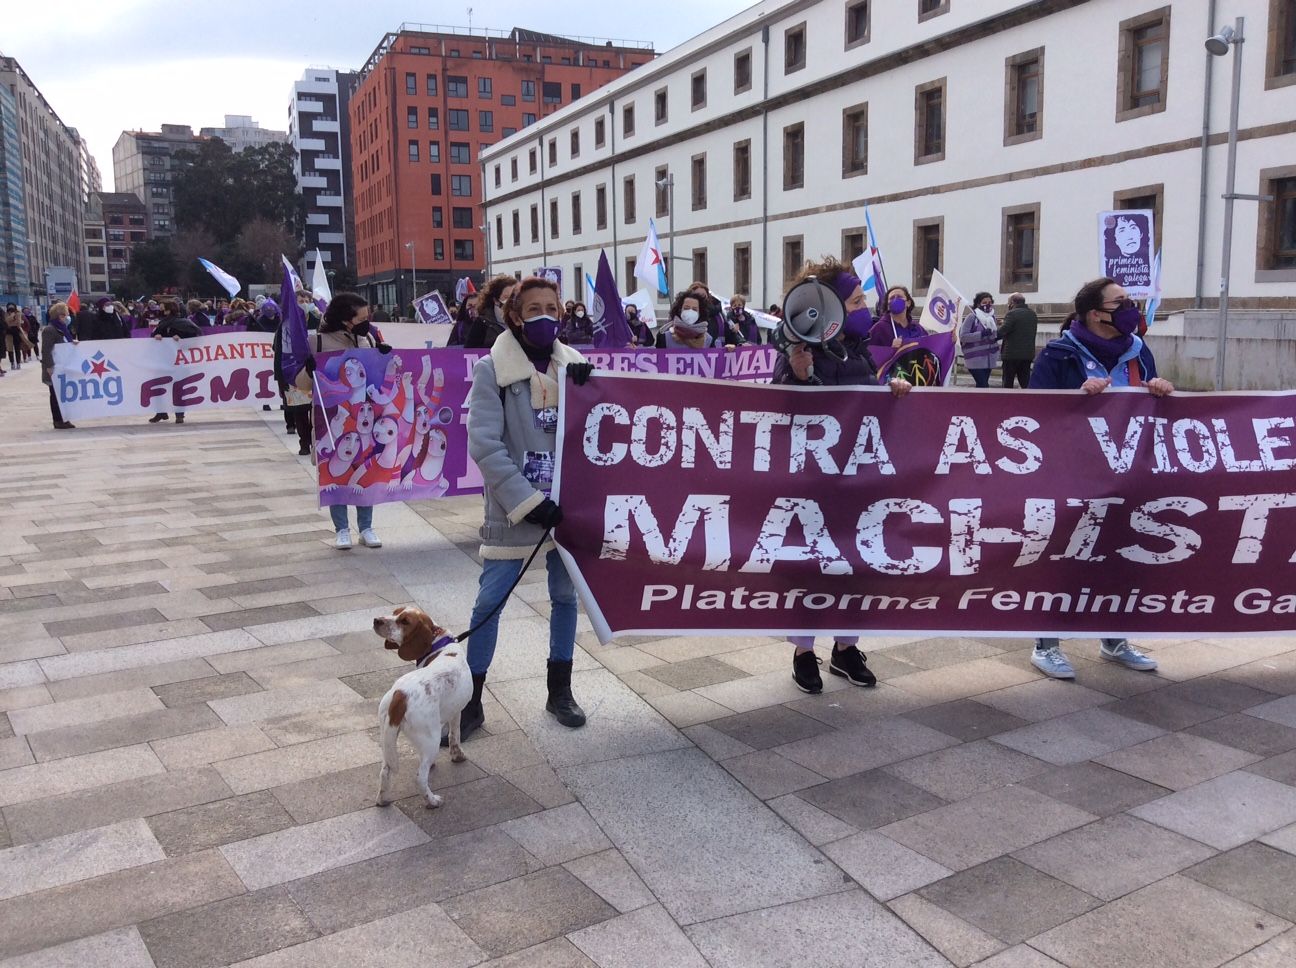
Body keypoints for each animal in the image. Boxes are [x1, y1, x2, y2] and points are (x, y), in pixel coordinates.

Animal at [370, 606, 471, 808]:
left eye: (404, 620)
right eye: (396, 613)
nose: (377, 620)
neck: (439, 644)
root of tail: (400, 695)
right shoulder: (456, 713)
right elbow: (455, 735)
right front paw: (457, 755)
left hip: (387, 738)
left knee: (385, 771)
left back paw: (383, 799)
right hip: (431, 740)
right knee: (420, 777)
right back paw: (432, 801)